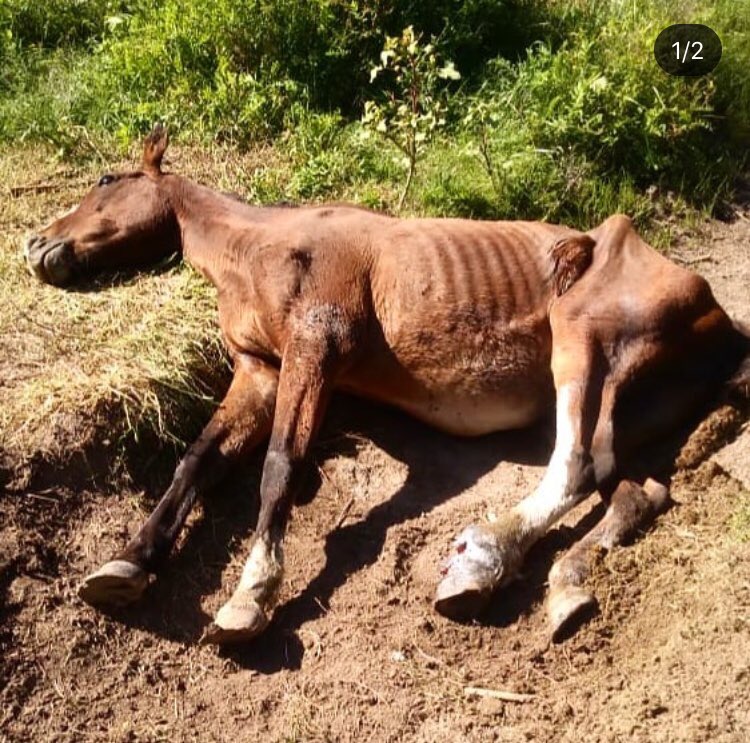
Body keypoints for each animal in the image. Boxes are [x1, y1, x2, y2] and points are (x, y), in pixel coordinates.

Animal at [25, 126, 750, 645]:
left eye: (106, 180)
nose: (36, 243)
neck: (259, 247)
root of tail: (715, 314)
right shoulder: (260, 371)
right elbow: (199, 460)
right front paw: (128, 563)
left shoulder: (314, 351)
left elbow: (279, 466)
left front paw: (250, 594)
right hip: (634, 411)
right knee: (631, 490)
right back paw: (556, 588)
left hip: (584, 340)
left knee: (576, 464)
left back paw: (481, 556)